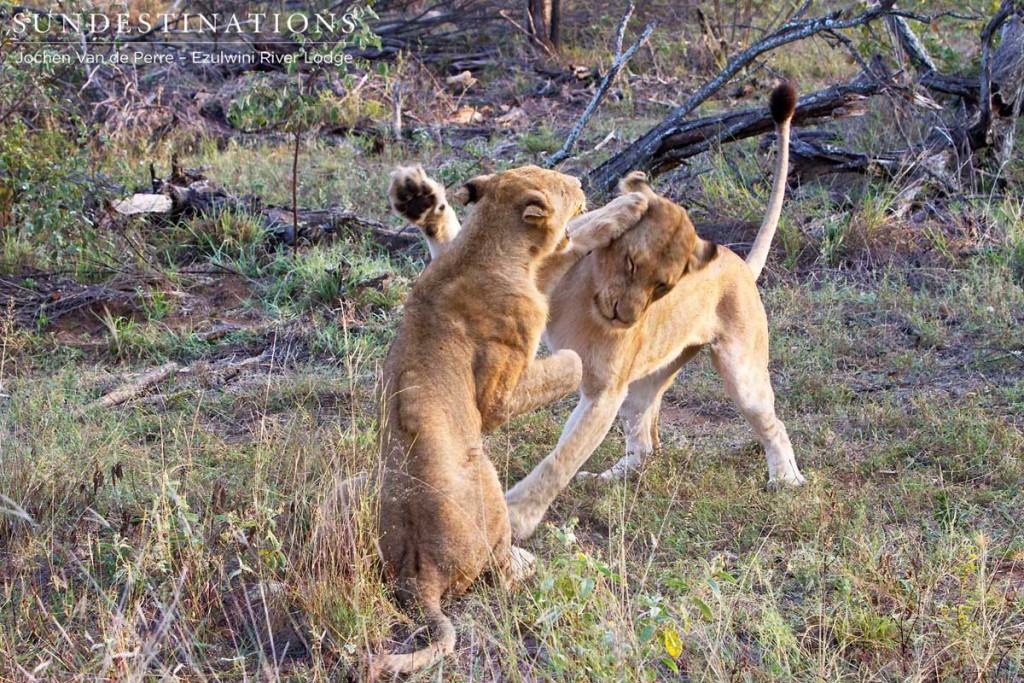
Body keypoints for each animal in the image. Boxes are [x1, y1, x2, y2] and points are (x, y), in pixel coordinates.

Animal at [360, 161, 647, 679]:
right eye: (559, 182)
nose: (579, 180)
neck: (486, 245)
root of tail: (418, 578)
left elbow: (575, 238)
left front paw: (629, 206)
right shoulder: (497, 396)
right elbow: (571, 359)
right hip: (486, 476)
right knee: (499, 571)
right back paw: (524, 561)